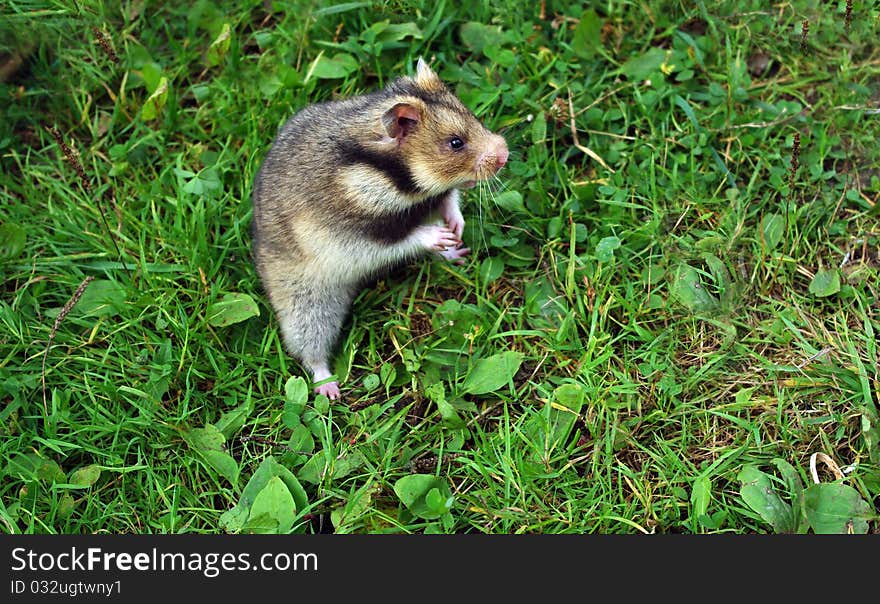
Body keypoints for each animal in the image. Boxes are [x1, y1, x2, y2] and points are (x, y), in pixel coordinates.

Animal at [251, 55, 508, 396]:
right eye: (455, 143)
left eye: (473, 116)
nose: (505, 153)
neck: (390, 175)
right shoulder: (355, 237)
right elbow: (404, 239)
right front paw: (438, 235)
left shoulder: (432, 199)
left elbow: (448, 200)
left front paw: (456, 229)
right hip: (306, 303)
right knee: (310, 350)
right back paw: (330, 389)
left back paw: (457, 253)